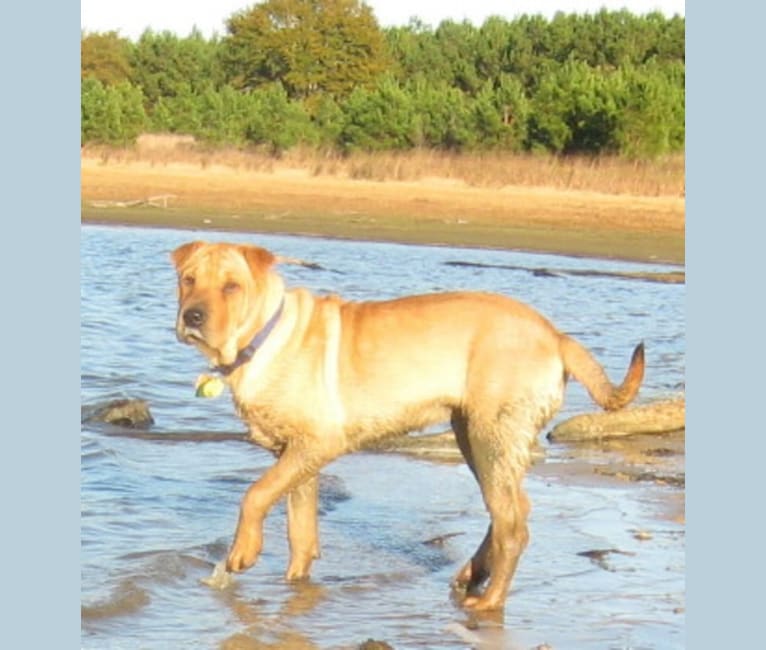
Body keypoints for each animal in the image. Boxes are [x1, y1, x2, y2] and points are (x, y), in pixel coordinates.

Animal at [171, 240, 644, 612]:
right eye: (188, 280)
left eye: (232, 286)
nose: (191, 317)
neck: (262, 338)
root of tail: (557, 337)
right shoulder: (295, 455)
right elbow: (300, 531)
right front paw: (295, 588)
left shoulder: (317, 444)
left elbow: (255, 493)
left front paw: (242, 552)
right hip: (473, 435)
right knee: (512, 509)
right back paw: (471, 574)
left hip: (489, 435)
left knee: (514, 526)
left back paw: (489, 601)